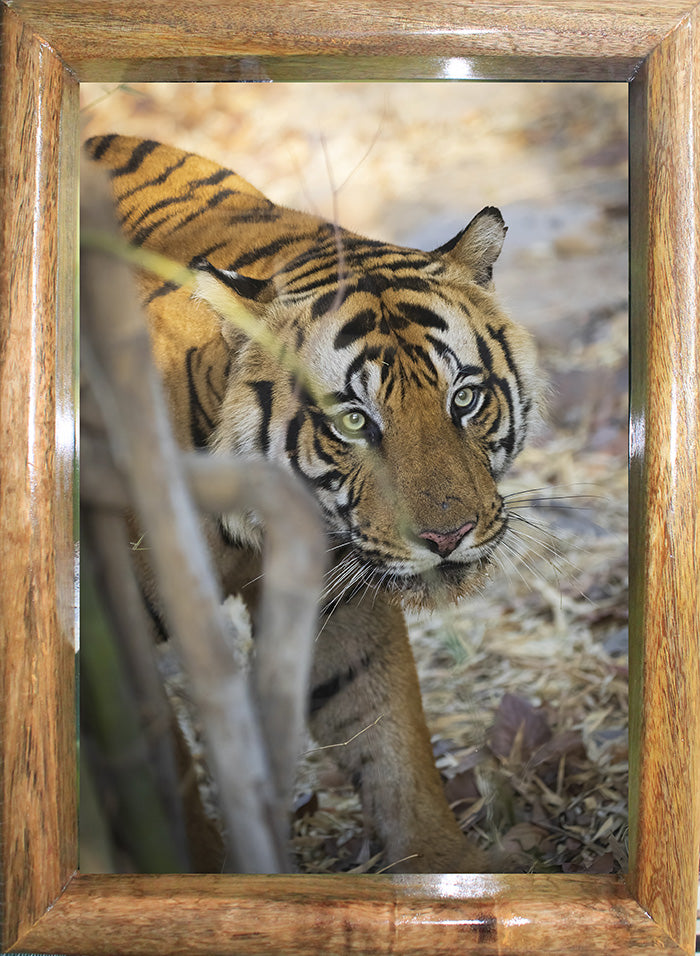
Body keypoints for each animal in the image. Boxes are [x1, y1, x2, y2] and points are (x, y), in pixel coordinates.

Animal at [85, 133, 541, 873]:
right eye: (354, 421)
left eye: (465, 399)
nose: (449, 537)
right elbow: (162, 770)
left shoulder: (337, 595)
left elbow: (387, 733)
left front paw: (445, 863)